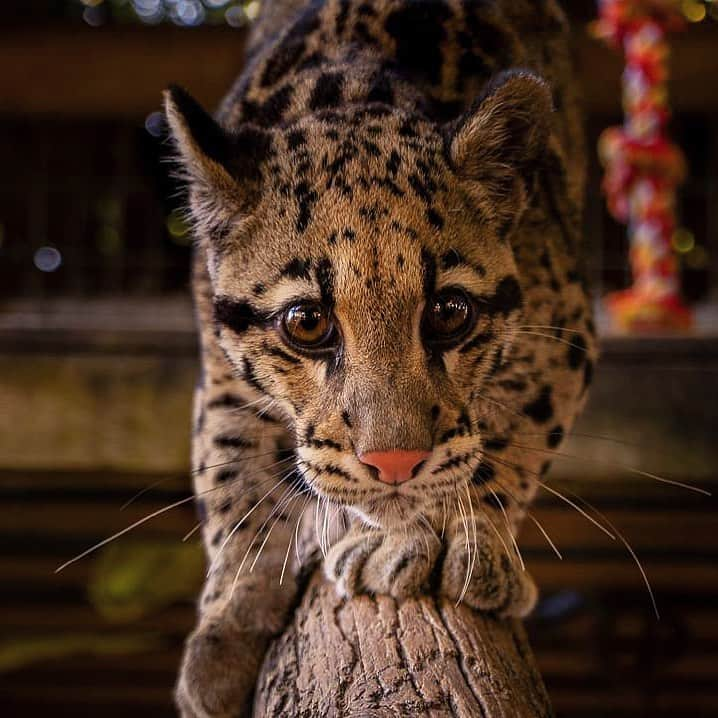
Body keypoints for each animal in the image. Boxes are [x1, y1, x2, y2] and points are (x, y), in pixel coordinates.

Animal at [166, 2, 600, 716]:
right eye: (307, 322)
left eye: (450, 313)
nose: (393, 462)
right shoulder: (218, 354)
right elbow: (229, 467)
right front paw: (227, 621)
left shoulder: (563, 321)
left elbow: (508, 428)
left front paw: (439, 533)